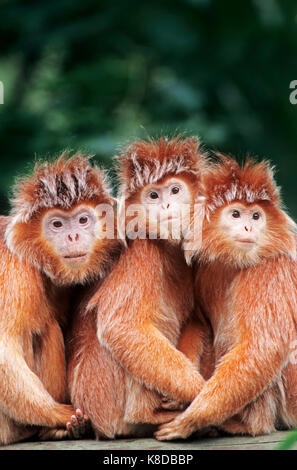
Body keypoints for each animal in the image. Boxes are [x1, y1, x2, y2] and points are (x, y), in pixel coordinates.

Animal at [1, 153, 119, 444]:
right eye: (57, 224)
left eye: (82, 220)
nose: (73, 235)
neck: (35, 260)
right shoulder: (13, 267)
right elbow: (4, 348)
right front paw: (59, 413)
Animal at [67, 137, 210, 440]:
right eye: (153, 196)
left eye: (175, 190)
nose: (166, 205)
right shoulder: (142, 252)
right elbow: (122, 326)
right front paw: (199, 394)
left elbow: (195, 320)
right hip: (101, 396)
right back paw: (151, 415)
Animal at [155, 157, 296, 440]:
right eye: (236, 214)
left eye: (256, 215)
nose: (248, 226)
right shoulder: (203, 267)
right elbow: (199, 321)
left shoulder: (269, 266)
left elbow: (265, 346)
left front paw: (191, 419)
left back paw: (246, 425)